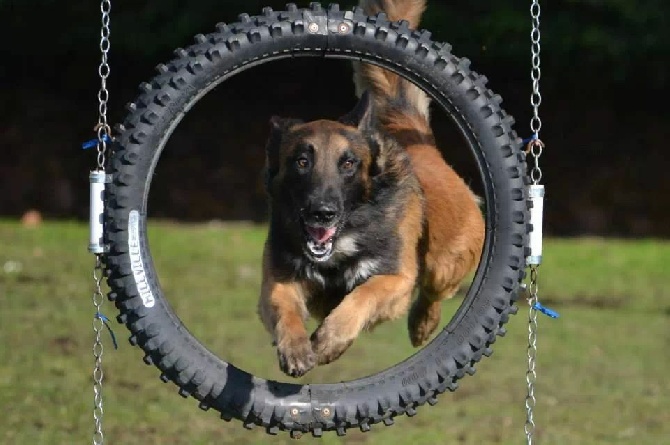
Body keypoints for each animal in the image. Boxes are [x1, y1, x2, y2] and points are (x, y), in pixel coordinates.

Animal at [260, 0, 486, 378]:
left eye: (348, 164)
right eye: (301, 162)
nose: (322, 213)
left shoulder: (395, 278)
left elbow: (362, 295)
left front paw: (330, 340)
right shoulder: (280, 279)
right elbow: (284, 309)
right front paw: (295, 347)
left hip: (445, 264)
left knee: (433, 293)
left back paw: (423, 323)